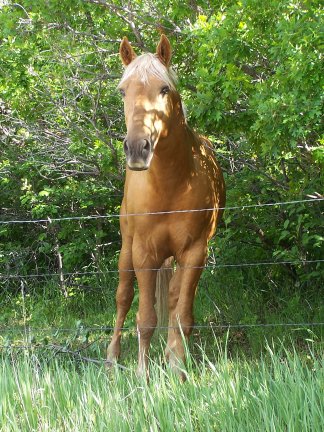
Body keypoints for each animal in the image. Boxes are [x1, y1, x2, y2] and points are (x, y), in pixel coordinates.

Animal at [106, 34, 225, 378]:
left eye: (164, 89)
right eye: (122, 90)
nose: (137, 149)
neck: (171, 185)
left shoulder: (195, 252)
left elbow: (183, 315)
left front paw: (177, 368)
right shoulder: (144, 253)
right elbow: (145, 319)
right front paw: (143, 377)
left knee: (171, 301)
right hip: (127, 249)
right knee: (123, 297)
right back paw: (112, 359)